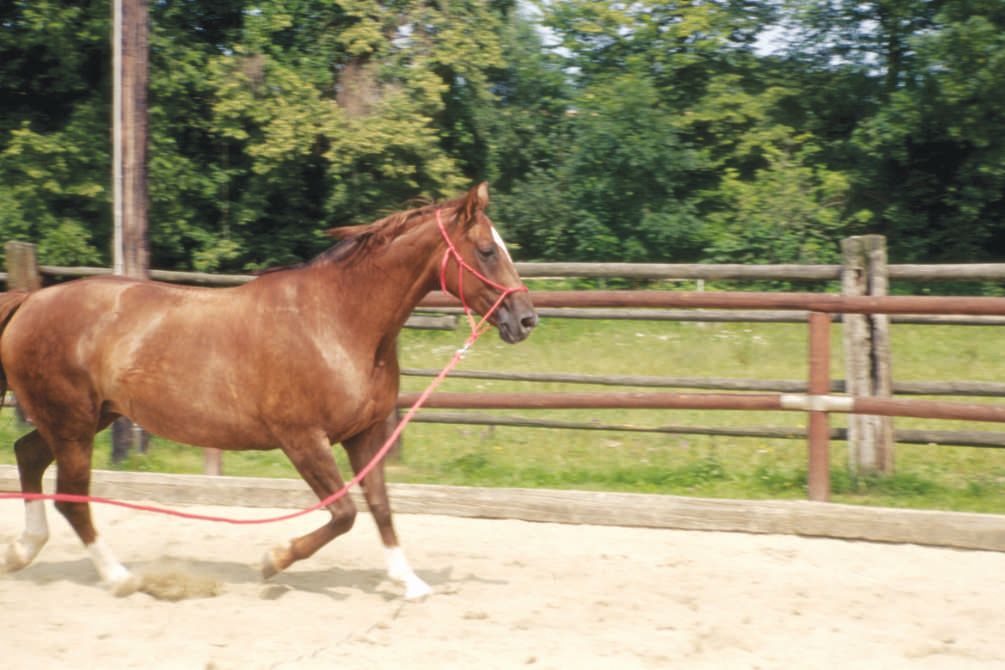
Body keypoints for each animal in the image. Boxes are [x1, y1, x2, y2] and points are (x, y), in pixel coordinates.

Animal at [0, 181, 538, 598]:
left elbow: (381, 506)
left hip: (87, 418)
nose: (526, 319)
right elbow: (344, 513)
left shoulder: (366, 433)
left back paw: (21, 552)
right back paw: (120, 578)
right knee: (72, 496)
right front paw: (273, 559)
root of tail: (30, 300)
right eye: (487, 251)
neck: (338, 320)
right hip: (72, 422)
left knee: (28, 455)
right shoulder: (301, 438)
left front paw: (409, 582)